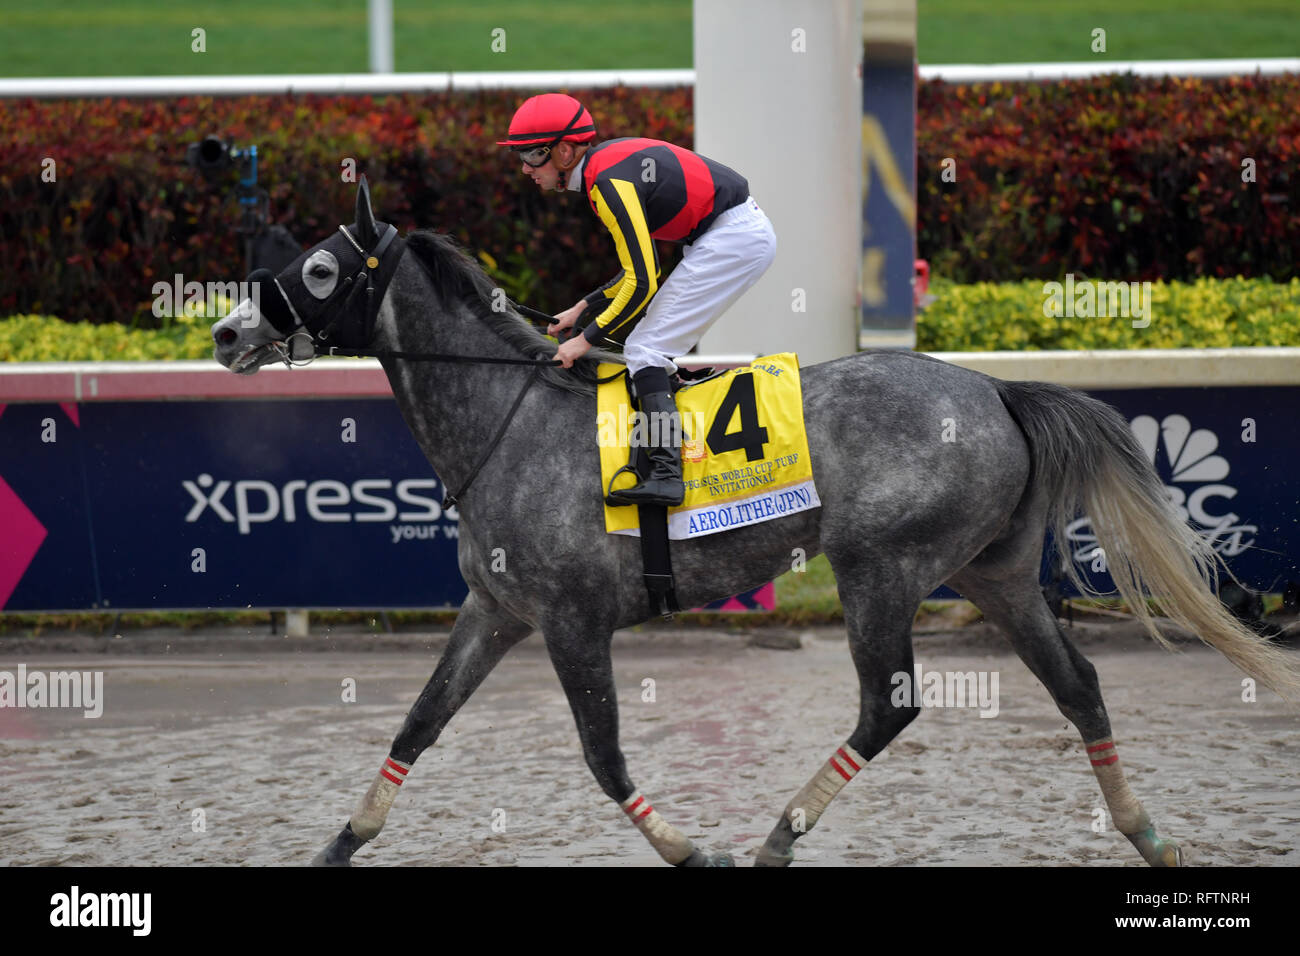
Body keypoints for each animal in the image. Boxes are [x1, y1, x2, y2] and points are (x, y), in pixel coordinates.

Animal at [208, 178, 1294, 868]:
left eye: (317, 270)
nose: (224, 332)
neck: (507, 421)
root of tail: (993, 388)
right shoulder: (497, 610)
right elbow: (418, 722)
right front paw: (337, 842)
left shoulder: (571, 620)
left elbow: (603, 758)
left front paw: (696, 848)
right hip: (996, 570)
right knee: (1078, 686)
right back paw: (1149, 834)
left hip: (879, 567)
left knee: (888, 706)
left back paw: (778, 835)